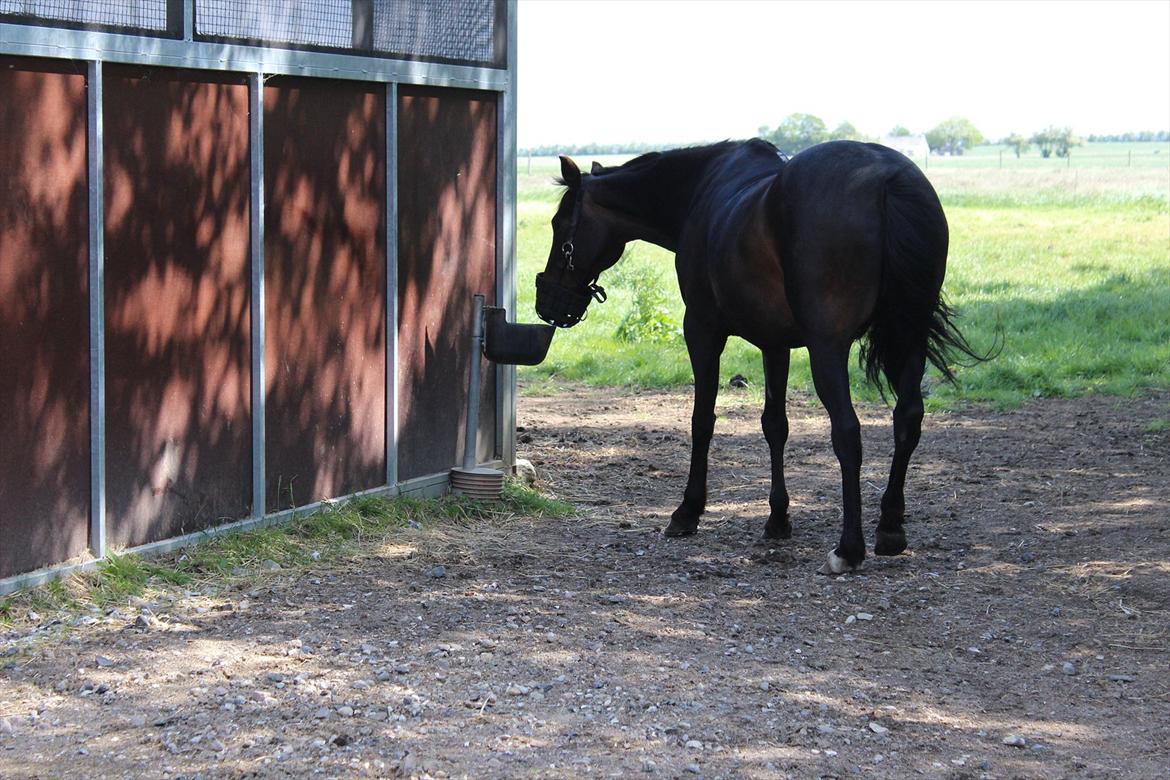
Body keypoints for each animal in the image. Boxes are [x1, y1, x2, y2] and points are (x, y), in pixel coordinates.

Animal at [538, 138, 987, 573]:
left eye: (560, 225)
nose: (547, 304)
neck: (700, 193)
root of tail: (887, 178)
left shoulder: (701, 330)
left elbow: (702, 421)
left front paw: (688, 511)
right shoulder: (775, 344)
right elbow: (775, 426)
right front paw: (777, 519)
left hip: (829, 349)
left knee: (848, 431)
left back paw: (848, 549)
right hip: (909, 338)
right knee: (907, 419)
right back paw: (890, 528)